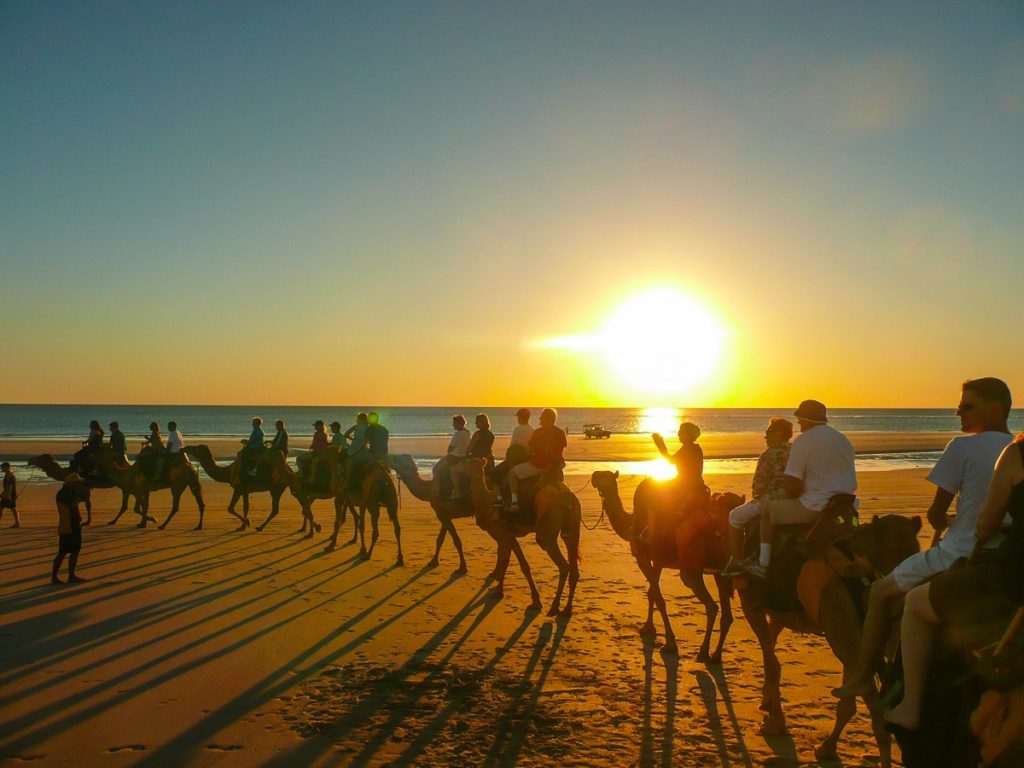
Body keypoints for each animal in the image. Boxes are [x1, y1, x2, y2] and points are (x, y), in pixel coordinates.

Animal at [589, 473, 741, 663]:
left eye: (605, 476)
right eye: (600, 475)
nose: (594, 479)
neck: (631, 523)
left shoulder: (643, 558)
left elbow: (659, 598)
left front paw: (670, 644)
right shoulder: (658, 561)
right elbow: (652, 593)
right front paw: (647, 628)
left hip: (692, 570)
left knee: (711, 606)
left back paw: (703, 652)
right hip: (721, 571)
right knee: (726, 614)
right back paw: (716, 655)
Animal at [737, 512, 921, 768]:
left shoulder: (750, 602)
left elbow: (772, 663)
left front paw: (774, 723)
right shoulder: (780, 613)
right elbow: (770, 653)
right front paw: (767, 704)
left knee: (871, 701)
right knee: (855, 692)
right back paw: (827, 748)